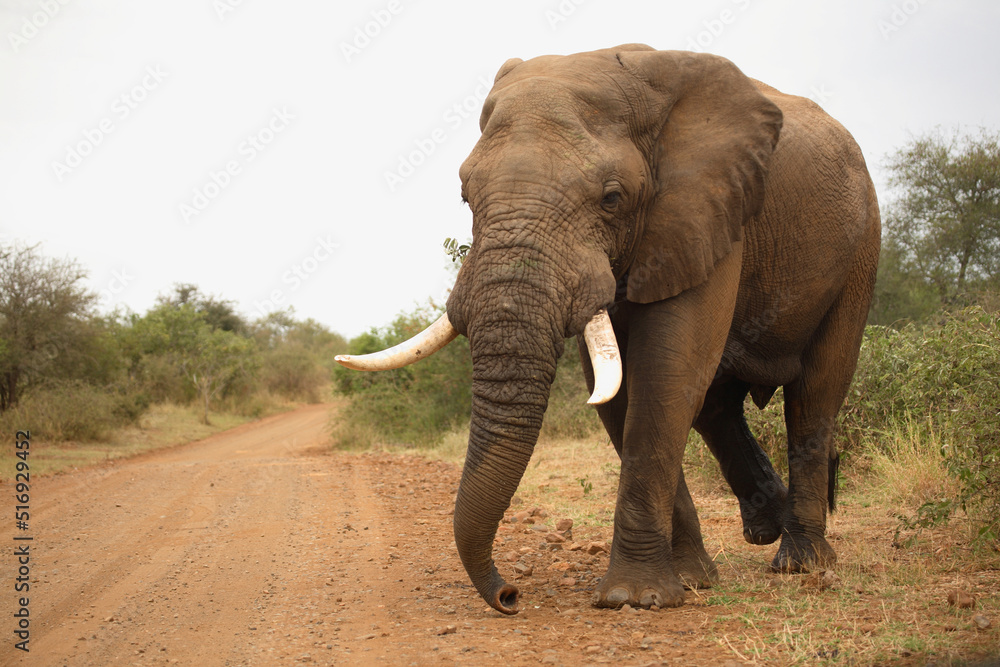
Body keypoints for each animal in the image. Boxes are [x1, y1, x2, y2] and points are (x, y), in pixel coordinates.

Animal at [337, 45, 880, 615]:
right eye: (465, 196)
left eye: (612, 198)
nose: (509, 595)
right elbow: (623, 395)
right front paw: (688, 581)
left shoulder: (707, 207)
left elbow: (665, 375)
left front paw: (635, 598)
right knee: (716, 406)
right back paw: (764, 526)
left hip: (862, 245)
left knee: (815, 395)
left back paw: (800, 561)